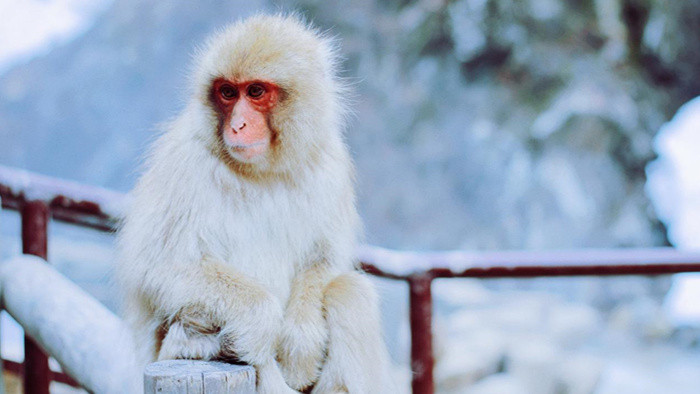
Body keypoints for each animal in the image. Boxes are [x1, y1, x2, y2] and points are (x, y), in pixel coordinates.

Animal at [117, 13, 396, 392]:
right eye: (227, 93)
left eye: (256, 91)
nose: (238, 125)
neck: (263, 171)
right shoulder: (184, 162)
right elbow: (160, 266)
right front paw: (261, 320)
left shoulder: (330, 164)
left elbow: (324, 259)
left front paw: (301, 340)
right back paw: (195, 342)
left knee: (349, 293)